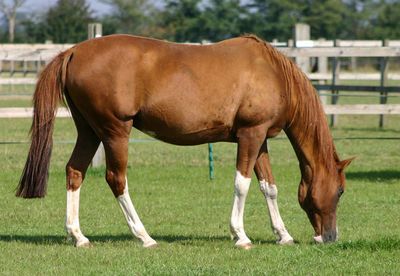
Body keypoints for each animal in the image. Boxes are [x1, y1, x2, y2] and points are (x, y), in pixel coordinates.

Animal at [16, 34, 354, 248]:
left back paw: (78, 236)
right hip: (114, 132)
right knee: (116, 179)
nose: (330, 237)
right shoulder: (250, 135)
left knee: (75, 172)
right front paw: (241, 236)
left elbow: (268, 187)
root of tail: (73, 52)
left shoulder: (260, 140)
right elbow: (242, 184)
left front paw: (283, 235)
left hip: (89, 131)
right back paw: (144, 237)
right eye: (339, 191)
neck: (271, 73)